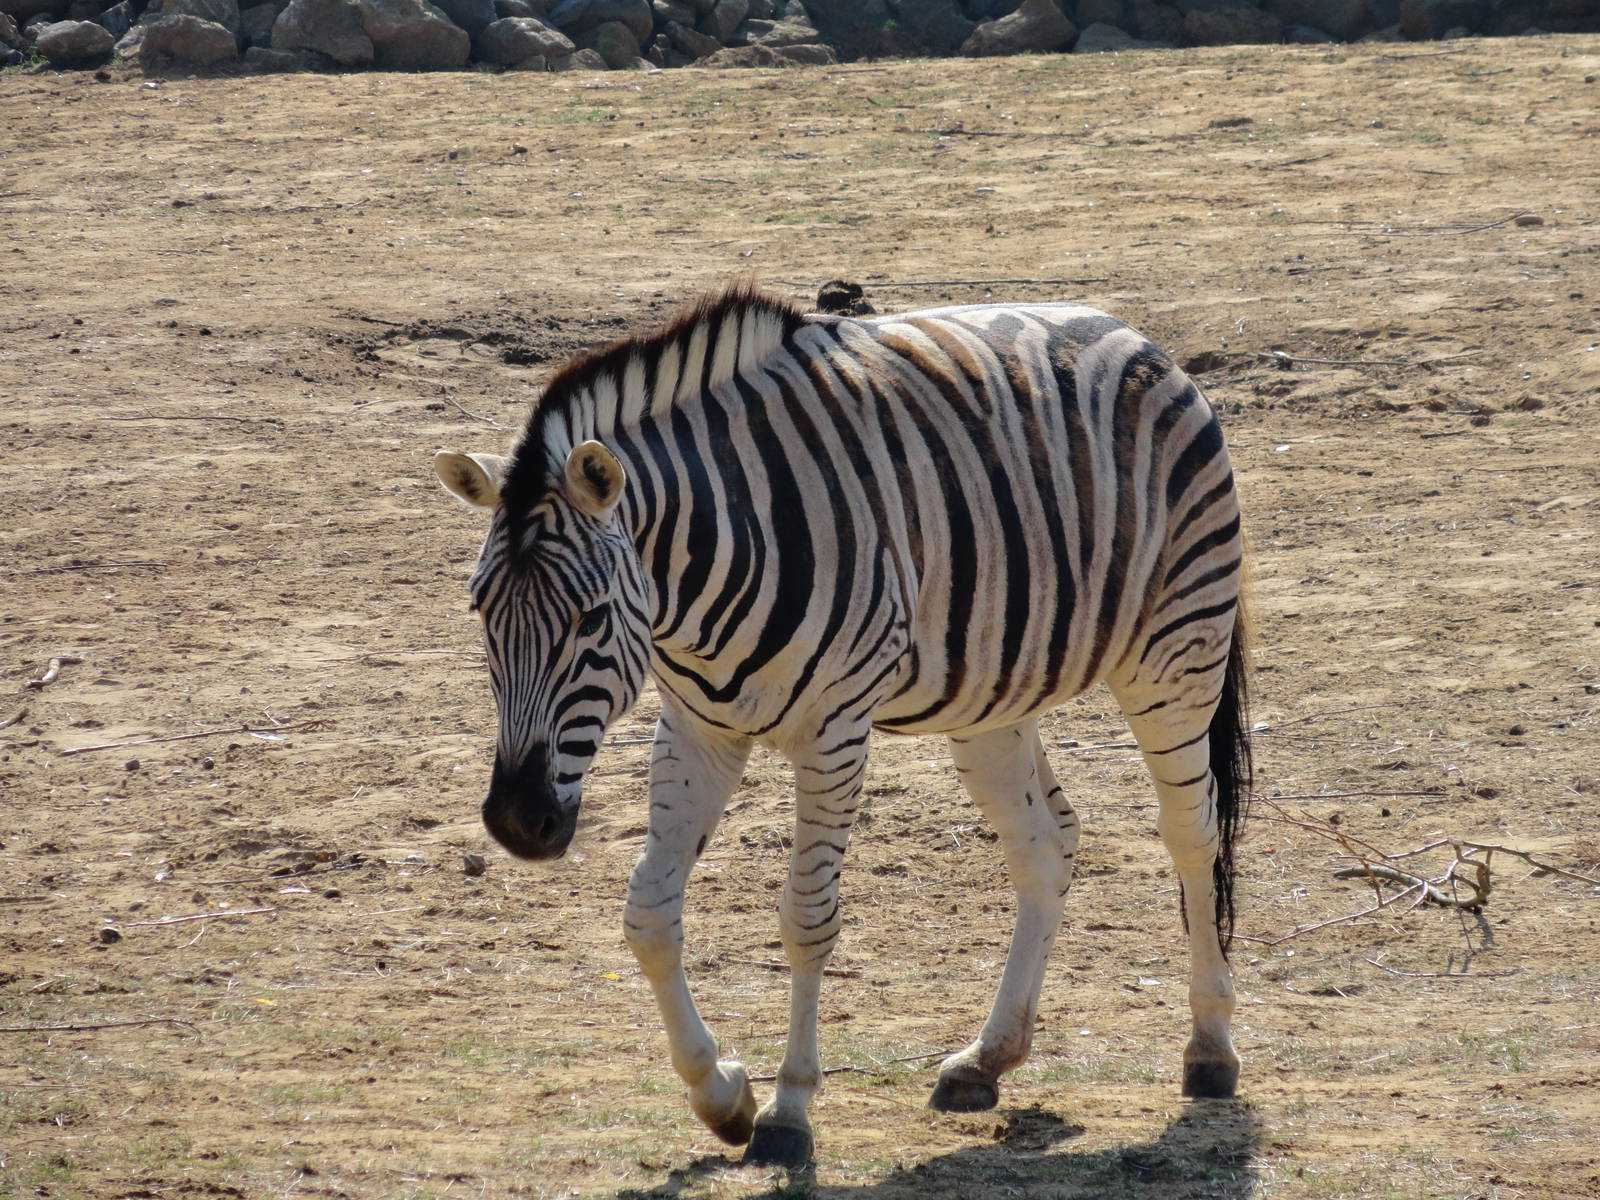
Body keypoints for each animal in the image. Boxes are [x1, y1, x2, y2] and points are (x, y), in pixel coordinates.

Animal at [433, 283, 1252, 1167]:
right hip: (994, 693)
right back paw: (986, 1058)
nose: (518, 822)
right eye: (479, 612)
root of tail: (1128, 332)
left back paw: (1210, 1048)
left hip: (1177, 648)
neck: (694, 585)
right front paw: (721, 1094)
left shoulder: (833, 732)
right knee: (1048, 844)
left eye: (588, 619)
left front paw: (789, 1110)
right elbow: (648, 914)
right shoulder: (697, 729)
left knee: (1193, 832)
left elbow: (806, 921)